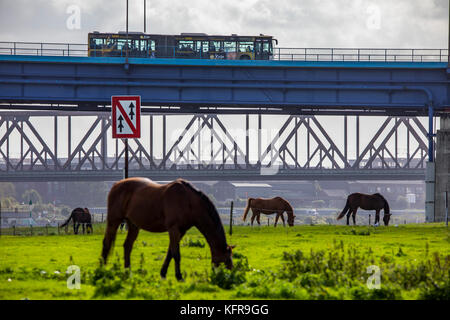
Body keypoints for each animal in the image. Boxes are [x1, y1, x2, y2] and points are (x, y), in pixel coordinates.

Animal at [101, 178, 236, 280]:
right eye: (226, 259)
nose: (228, 276)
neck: (188, 201)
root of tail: (116, 185)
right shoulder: (174, 229)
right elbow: (176, 254)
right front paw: (179, 276)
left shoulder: (181, 231)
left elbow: (170, 252)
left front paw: (163, 273)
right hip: (114, 221)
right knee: (107, 243)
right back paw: (103, 268)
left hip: (134, 225)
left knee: (127, 246)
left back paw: (127, 271)